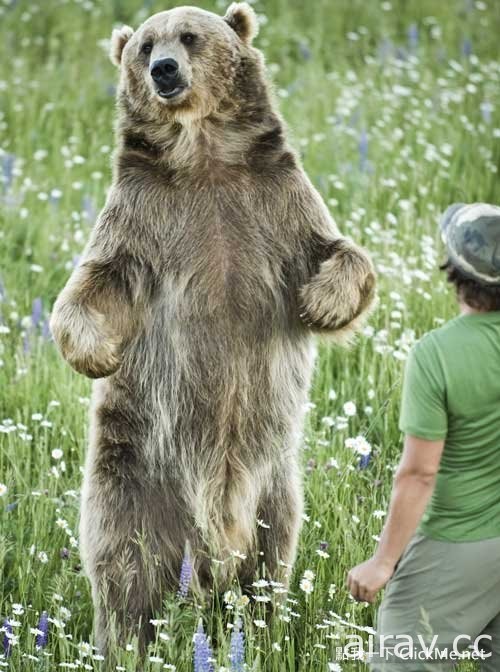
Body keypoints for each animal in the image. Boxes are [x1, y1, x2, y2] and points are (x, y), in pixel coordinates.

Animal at [49, 0, 376, 652]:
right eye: (144, 46)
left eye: (190, 36)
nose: (165, 70)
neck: (203, 155)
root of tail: (209, 555)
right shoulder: (144, 220)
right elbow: (96, 280)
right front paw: (96, 352)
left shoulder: (274, 203)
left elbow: (337, 253)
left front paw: (321, 303)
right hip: (132, 472)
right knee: (122, 561)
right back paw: (124, 640)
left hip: (274, 485)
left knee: (273, 553)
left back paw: (263, 625)